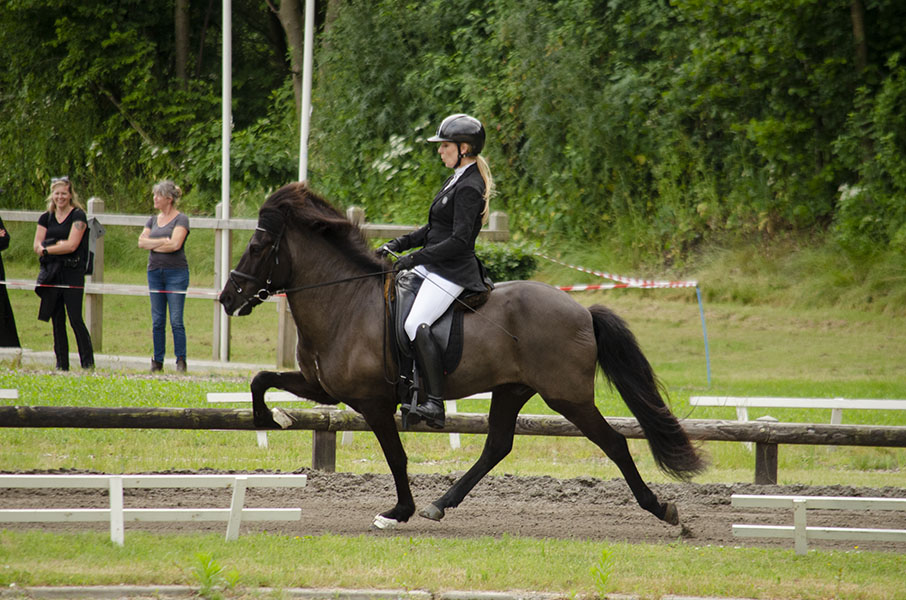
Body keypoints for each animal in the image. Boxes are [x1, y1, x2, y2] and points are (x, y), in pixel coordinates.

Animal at [219, 182, 708, 528]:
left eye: (258, 247)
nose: (227, 298)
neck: (345, 301)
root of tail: (582, 310)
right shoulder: (323, 387)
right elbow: (261, 379)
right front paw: (269, 419)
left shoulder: (371, 402)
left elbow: (396, 456)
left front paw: (398, 511)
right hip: (513, 389)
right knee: (498, 445)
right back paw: (440, 504)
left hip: (568, 397)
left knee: (613, 443)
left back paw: (662, 509)